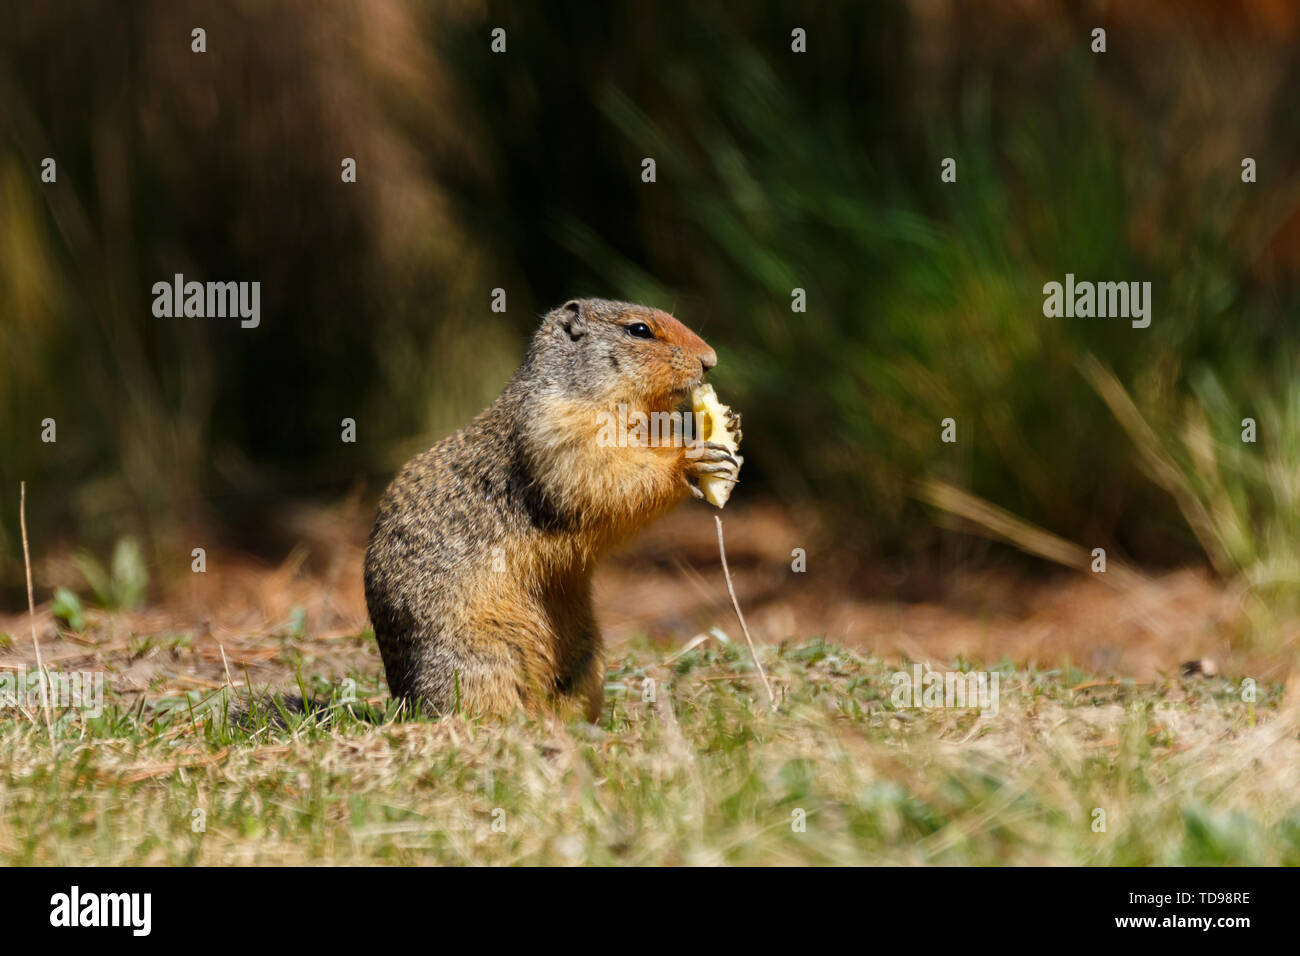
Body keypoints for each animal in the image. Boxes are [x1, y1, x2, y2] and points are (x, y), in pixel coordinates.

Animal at [366, 299, 743, 717]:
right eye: (640, 330)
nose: (711, 360)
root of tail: (403, 699)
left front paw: (728, 430)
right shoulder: (558, 428)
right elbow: (603, 476)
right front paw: (690, 458)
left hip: (587, 652)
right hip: (484, 657)